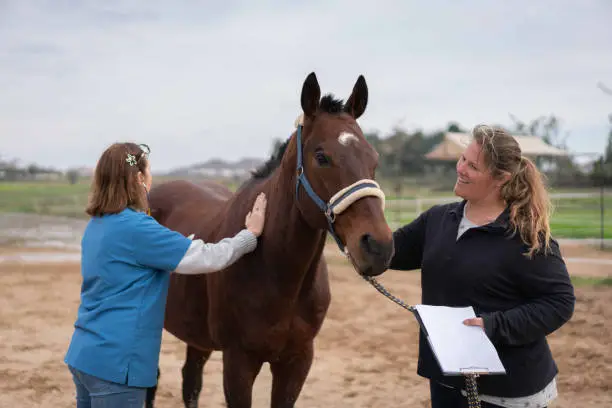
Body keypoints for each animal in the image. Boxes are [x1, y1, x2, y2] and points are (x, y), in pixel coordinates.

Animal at [145, 73, 392, 408]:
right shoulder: (238, 361)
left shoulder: (297, 361)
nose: (378, 247)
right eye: (321, 157)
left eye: (373, 159)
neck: (276, 271)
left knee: (190, 380)